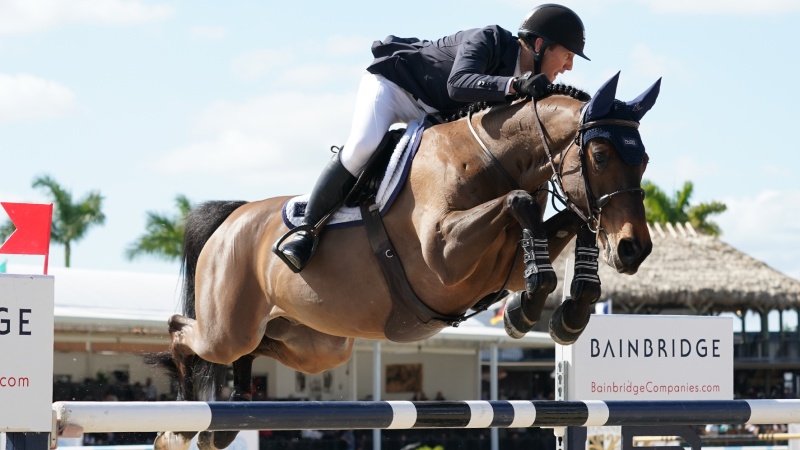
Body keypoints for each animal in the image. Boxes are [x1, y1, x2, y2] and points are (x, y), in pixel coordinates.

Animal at [155, 72, 664, 448]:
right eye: (600, 155)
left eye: (644, 160)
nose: (634, 248)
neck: (490, 157)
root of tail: (232, 217)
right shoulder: (442, 258)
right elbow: (519, 204)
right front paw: (531, 309)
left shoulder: (505, 264)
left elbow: (563, 226)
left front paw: (563, 312)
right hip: (228, 327)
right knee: (183, 333)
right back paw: (180, 425)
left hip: (316, 343)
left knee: (258, 346)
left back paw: (230, 412)